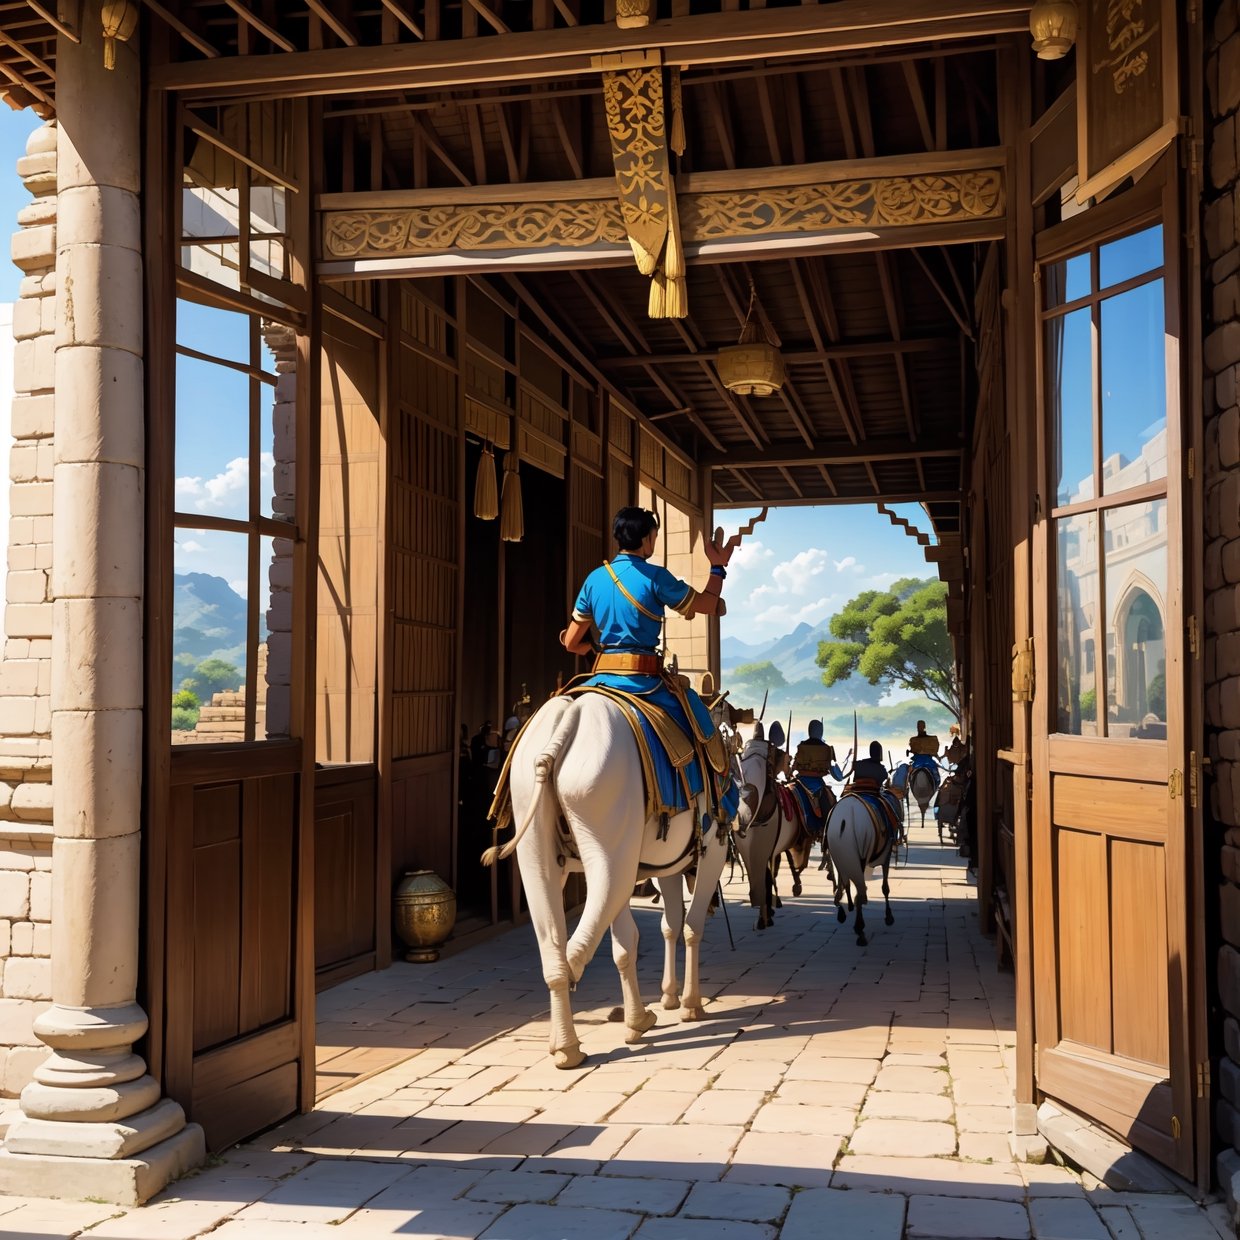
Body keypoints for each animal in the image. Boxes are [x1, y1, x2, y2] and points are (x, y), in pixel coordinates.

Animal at [486, 694, 734, 1071]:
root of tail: (568, 720)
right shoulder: (713, 850)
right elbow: (691, 926)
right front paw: (690, 1003)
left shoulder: (660, 865)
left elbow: (651, 931)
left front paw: (664, 1000)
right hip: (603, 808)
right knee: (585, 931)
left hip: (537, 827)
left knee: (562, 933)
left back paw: (569, 1039)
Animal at [828, 758, 907, 942]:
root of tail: (845, 818)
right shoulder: (886, 855)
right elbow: (885, 887)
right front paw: (888, 916)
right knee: (859, 890)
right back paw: (860, 928)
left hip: (839, 852)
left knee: (844, 885)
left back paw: (843, 910)